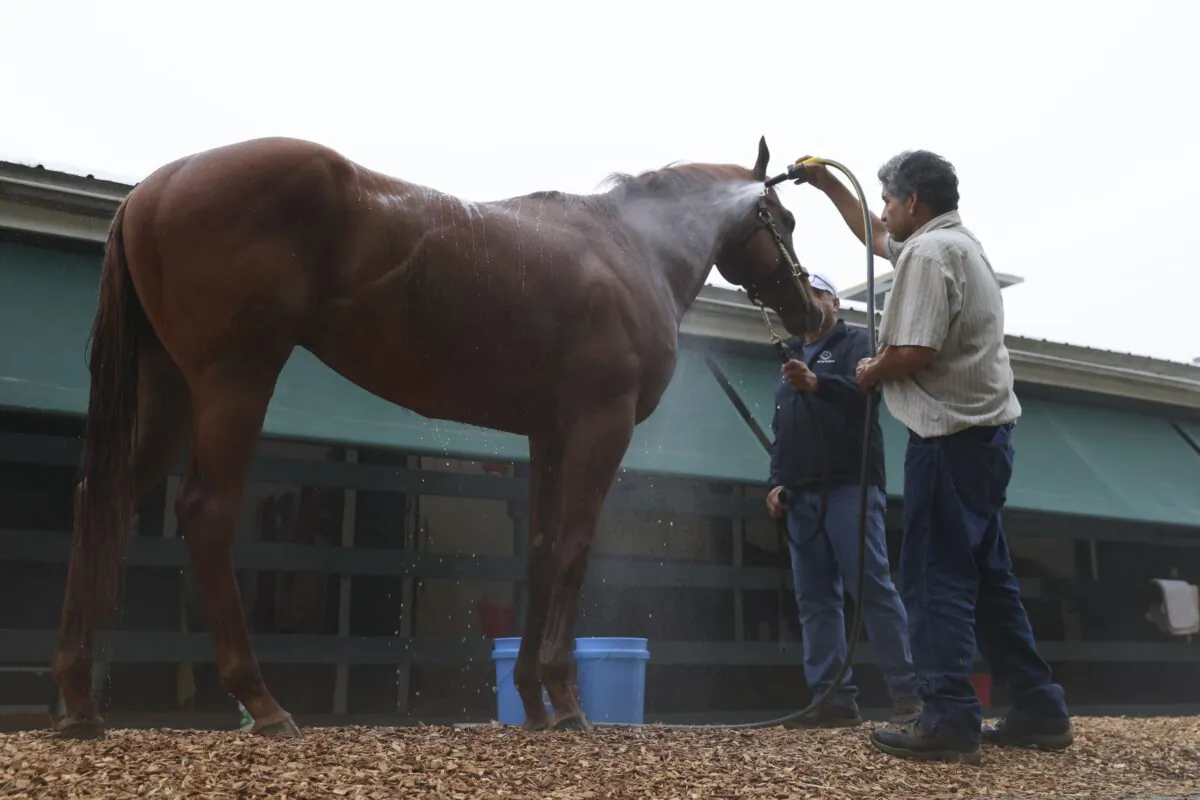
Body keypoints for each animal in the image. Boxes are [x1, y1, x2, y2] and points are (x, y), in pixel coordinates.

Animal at [50, 134, 824, 738]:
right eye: (783, 217)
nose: (812, 310)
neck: (628, 248)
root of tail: (153, 189)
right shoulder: (598, 426)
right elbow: (574, 551)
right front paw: (566, 700)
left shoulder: (552, 434)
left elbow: (541, 553)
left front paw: (534, 704)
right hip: (233, 380)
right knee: (206, 514)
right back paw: (263, 705)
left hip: (170, 392)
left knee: (102, 501)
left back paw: (80, 704)